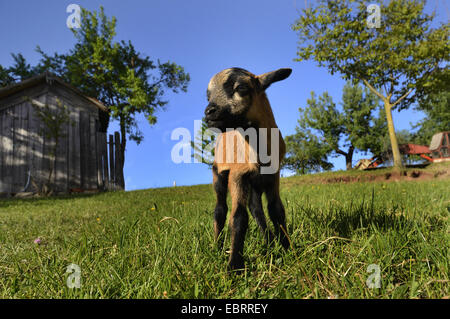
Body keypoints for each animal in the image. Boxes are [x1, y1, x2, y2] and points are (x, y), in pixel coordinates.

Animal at [204, 67, 292, 272]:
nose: (208, 112)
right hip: (219, 175)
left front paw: (287, 249)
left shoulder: (273, 176)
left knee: (256, 208)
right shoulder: (238, 175)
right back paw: (217, 247)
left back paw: (269, 242)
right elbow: (238, 218)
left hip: (255, 184)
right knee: (220, 209)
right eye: (208, 96)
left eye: (241, 88)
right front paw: (234, 266)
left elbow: (276, 211)